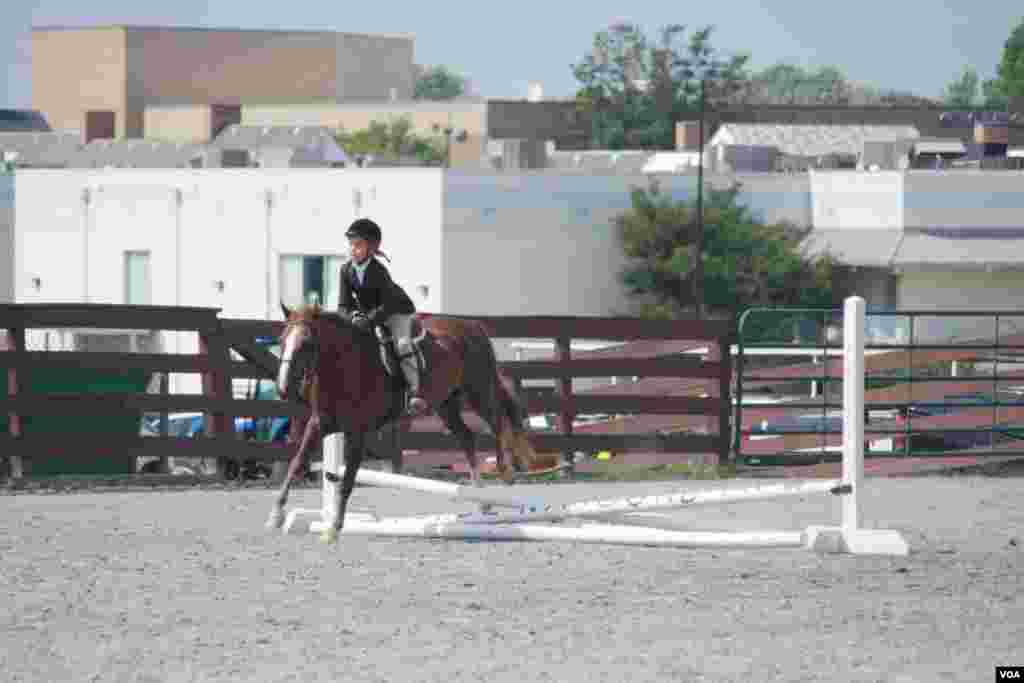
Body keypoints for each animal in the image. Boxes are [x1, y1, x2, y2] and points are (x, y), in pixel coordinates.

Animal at [264, 305, 540, 544]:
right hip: (446, 403)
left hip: (478, 389)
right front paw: (275, 517)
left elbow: (348, 480)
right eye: (281, 340)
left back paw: (505, 471)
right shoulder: (319, 423)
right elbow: (297, 462)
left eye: (307, 344)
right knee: (467, 437)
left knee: (497, 421)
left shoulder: (358, 431)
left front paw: (333, 528)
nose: (283, 389)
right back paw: (482, 499)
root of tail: (473, 325)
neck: (345, 366)